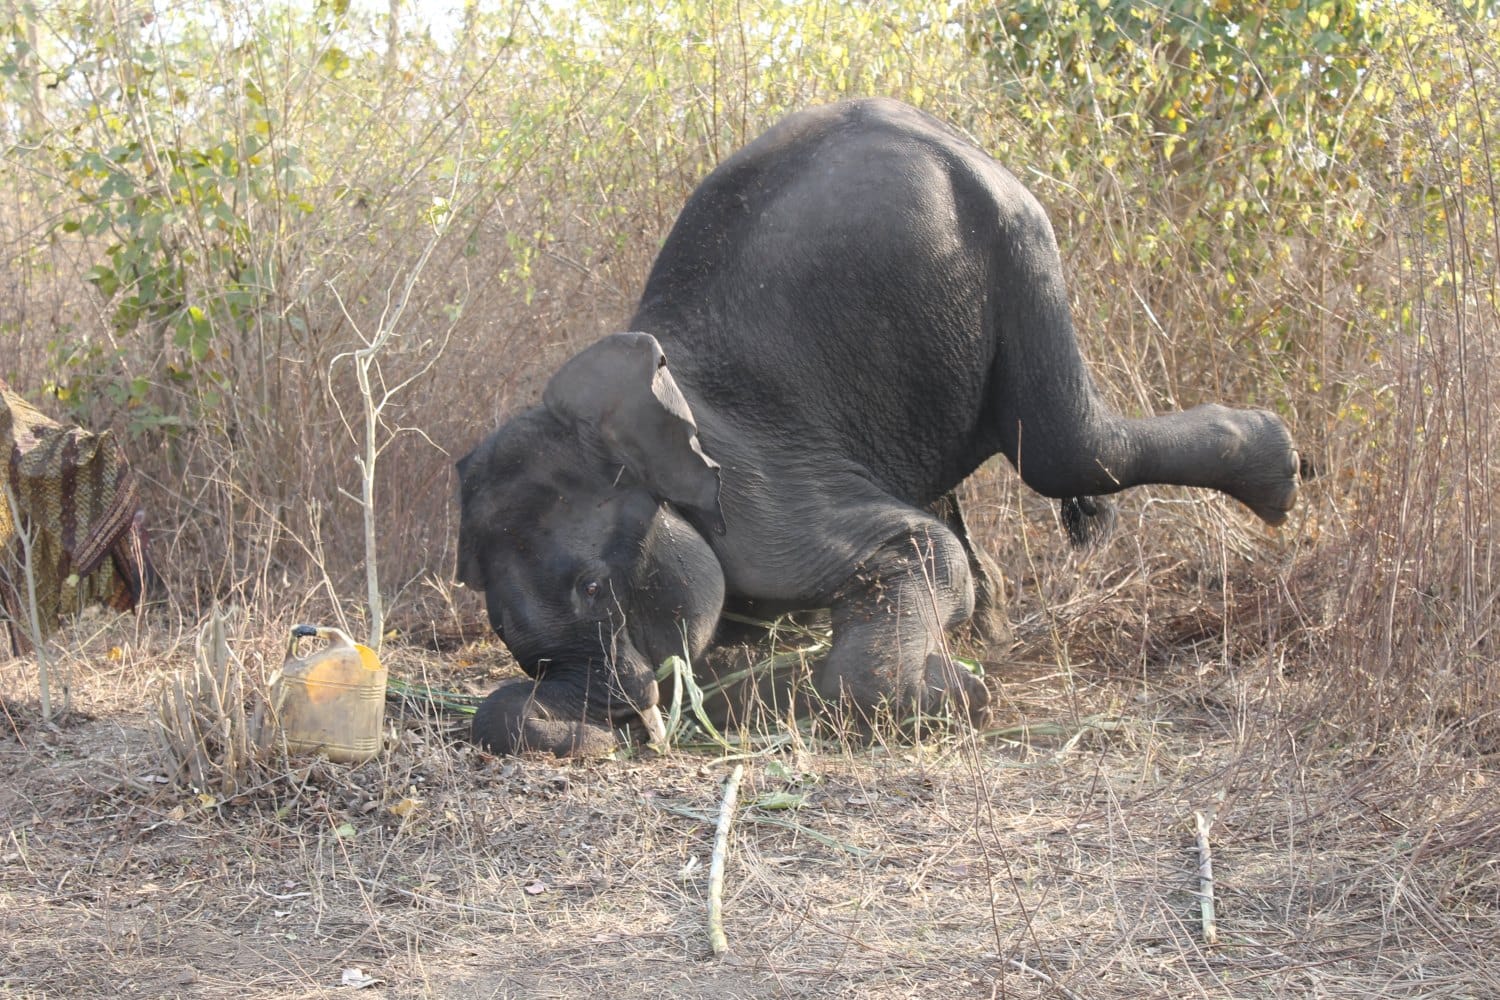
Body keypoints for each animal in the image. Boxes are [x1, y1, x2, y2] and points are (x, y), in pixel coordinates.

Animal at [455, 98, 1299, 756]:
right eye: (502, 632)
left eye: (596, 589)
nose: (609, 732)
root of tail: (942, 128)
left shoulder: (767, 499)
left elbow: (917, 554)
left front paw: (960, 695)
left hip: (1018, 239)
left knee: (1065, 452)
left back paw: (1281, 476)